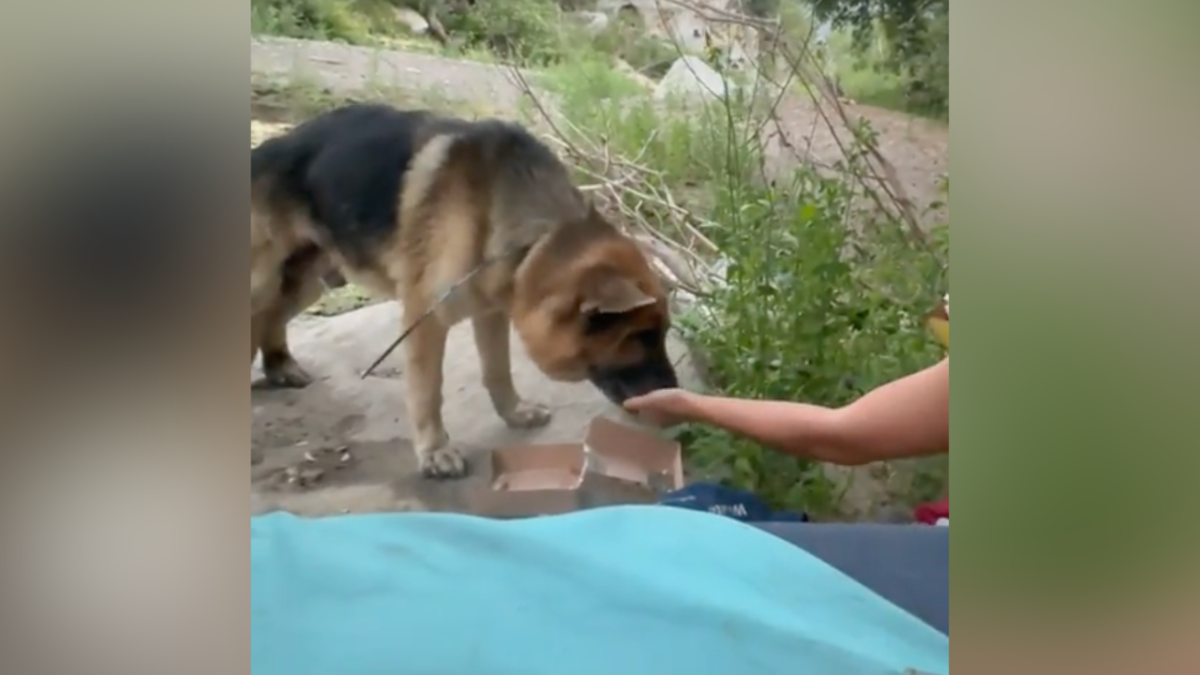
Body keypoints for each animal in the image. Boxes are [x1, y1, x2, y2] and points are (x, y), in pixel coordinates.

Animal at [248, 102, 681, 475]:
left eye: (661, 333)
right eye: (640, 336)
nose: (676, 394)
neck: (532, 239)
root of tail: (264, 149)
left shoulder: (492, 309)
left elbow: (498, 369)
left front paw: (514, 412)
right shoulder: (424, 318)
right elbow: (428, 389)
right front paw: (435, 451)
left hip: (305, 283)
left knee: (270, 318)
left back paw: (280, 365)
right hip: (264, 282)